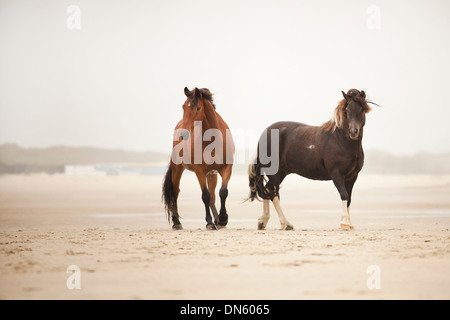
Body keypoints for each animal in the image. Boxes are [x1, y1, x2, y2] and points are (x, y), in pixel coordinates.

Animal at [162, 87, 234, 230]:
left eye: (198, 108)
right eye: (183, 107)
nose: (184, 134)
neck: (213, 139)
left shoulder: (226, 168)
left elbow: (222, 192)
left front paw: (223, 219)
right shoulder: (199, 171)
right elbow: (205, 196)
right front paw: (210, 223)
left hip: (212, 174)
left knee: (213, 196)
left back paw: (218, 220)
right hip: (177, 169)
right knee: (175, 192)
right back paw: (177, 222)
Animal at [250, 88, 372, 230]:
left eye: (361, 109)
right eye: (347, 110)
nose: (353, 132)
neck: (340, 140)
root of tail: (265, 133)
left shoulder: (352, 177)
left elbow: (349, 199)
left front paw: (350, 224)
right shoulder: (337, 174)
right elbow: (344, 195)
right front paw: (345, 223)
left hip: (281, 173)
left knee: (268, 190)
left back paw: (263, 222)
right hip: (275, 173)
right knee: (273, 194)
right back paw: (286, 224)